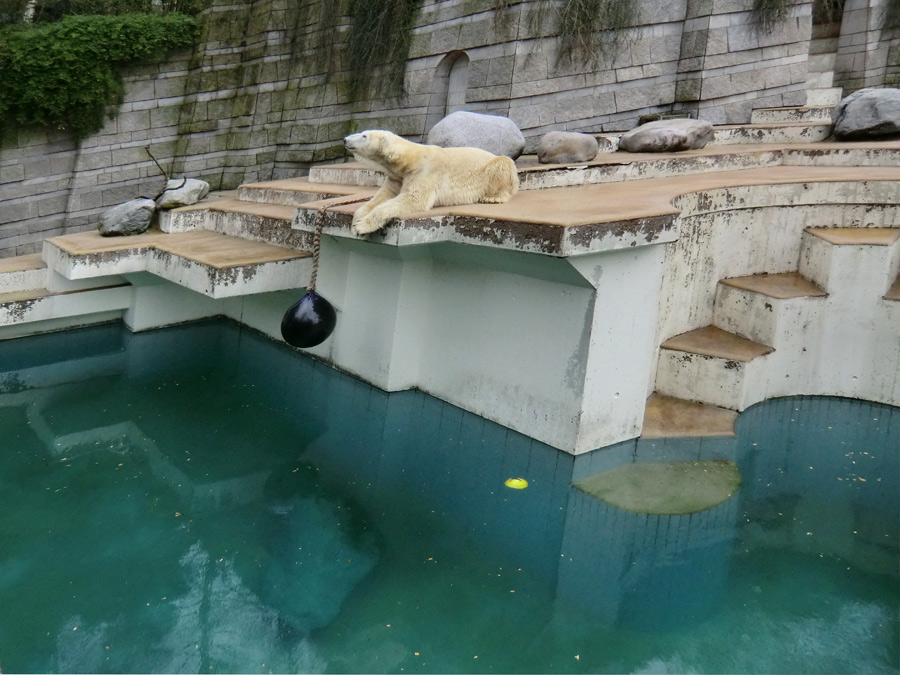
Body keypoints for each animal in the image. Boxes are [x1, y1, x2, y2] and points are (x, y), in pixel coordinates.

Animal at [342, 131, 516, 236]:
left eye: (364, 136)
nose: (344, 139)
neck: (409, 159)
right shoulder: (396, 177)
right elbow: (383, 196)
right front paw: (355, 222)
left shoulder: (424, 172)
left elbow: (413, 199)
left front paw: (362, 226)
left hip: (494, 168)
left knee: (503, 162)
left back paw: (493, 198)